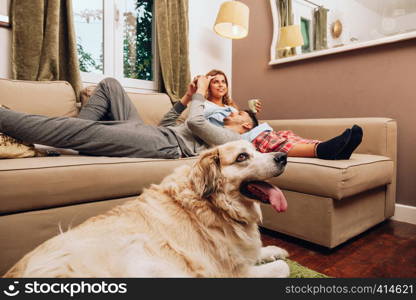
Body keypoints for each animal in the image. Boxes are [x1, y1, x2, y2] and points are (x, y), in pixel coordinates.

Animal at [4, 141, 290, 278]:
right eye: (242, 157)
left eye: (257, 149)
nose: (283, 156)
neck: (214, 205)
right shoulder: (232, 273)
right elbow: (282, 269)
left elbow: (261, 251)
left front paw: (275, 250)